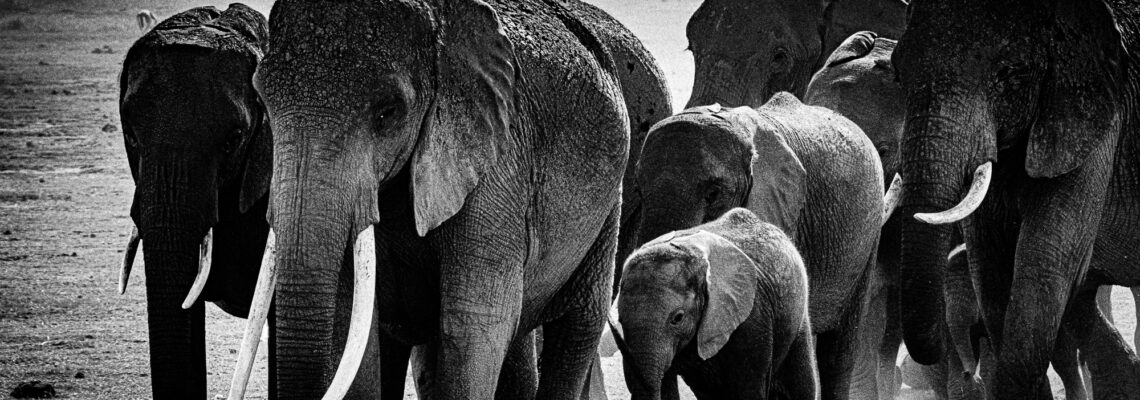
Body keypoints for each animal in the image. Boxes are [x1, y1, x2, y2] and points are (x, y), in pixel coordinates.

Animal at [223, 1, 667, 399]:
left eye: (388, 113)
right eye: (264, 103)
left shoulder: (498, 168)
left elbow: (474, 324)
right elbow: (355, 324)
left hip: (612, 199)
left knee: (578, 325)